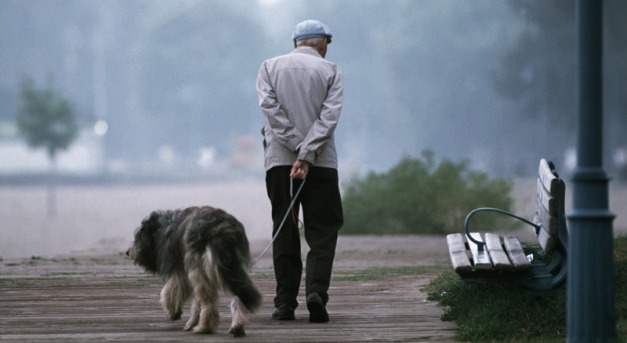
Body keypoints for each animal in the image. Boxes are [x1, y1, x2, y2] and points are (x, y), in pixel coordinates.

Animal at [127, 206, 262, 338]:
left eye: (137, 237)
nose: (128, 252)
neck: (162, 226)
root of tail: (219, 229)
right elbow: (194, 301)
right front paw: (191, 320)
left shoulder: (179, 269)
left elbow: (168, 290)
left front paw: (172, 311)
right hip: (233, 267)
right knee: (240, 293)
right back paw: (237, 325)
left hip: (199, 266)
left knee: (207, 301)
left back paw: (204, 327)